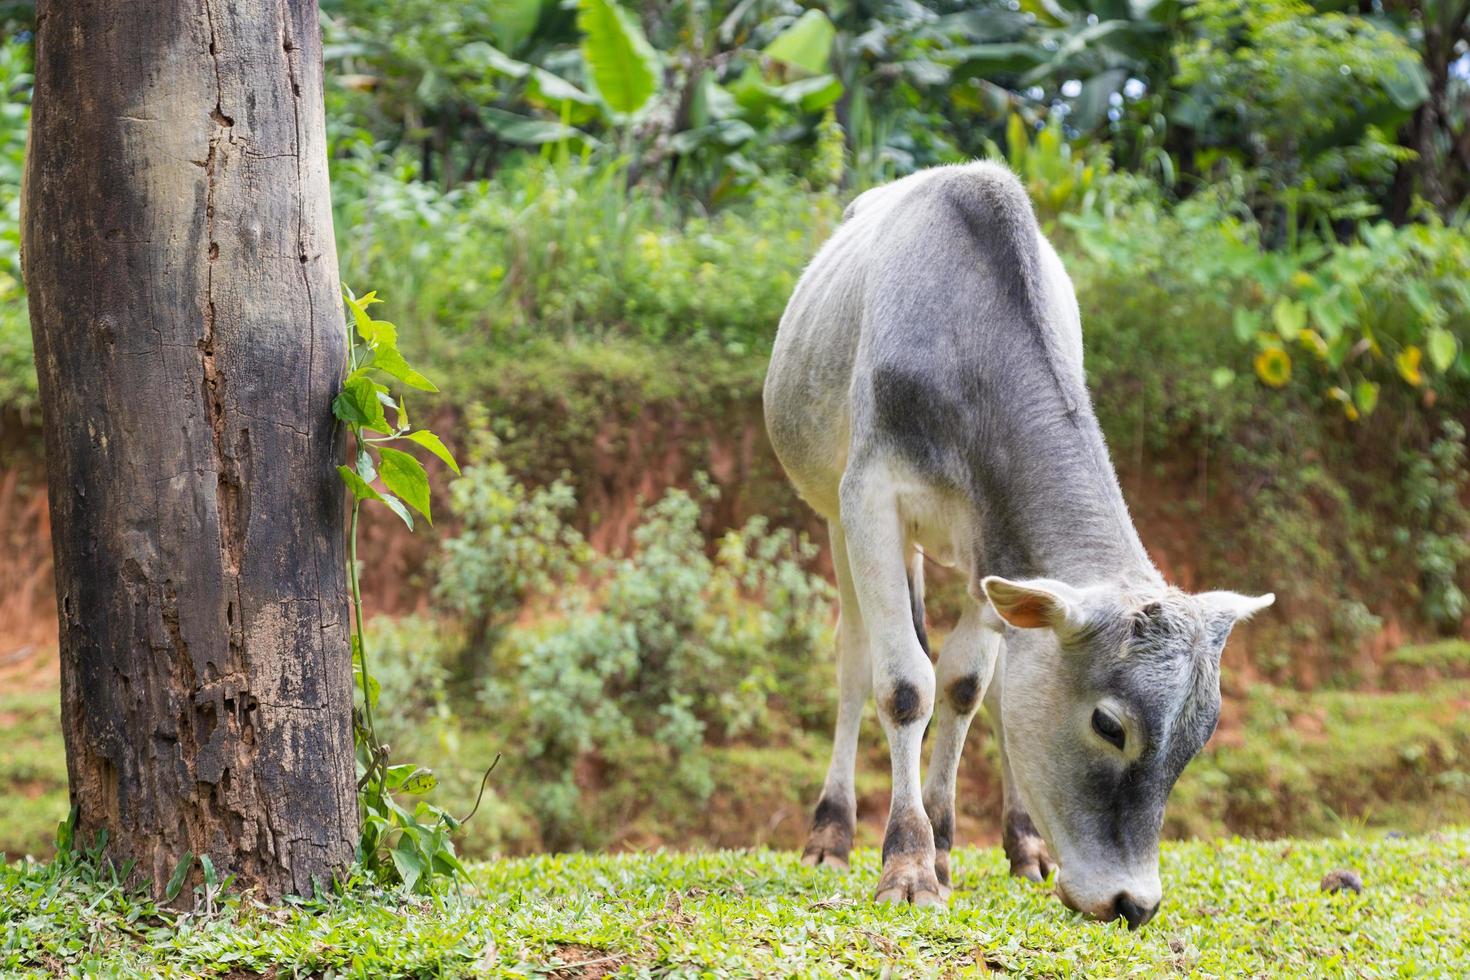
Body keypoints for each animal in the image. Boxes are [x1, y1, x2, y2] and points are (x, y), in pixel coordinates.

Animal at [764, 160, 1270, 928]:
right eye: (1109, 724)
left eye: (1202, 733)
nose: (1133, 901)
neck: (965, 348)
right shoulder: (868, 501)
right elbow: (905, 686)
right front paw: (909, 861)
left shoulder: (997, 551)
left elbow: (966, 685)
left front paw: (945, 847)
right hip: (833, 515)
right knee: (854, 663)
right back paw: (831, 833)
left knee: (994, 689)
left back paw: (1024, 843)